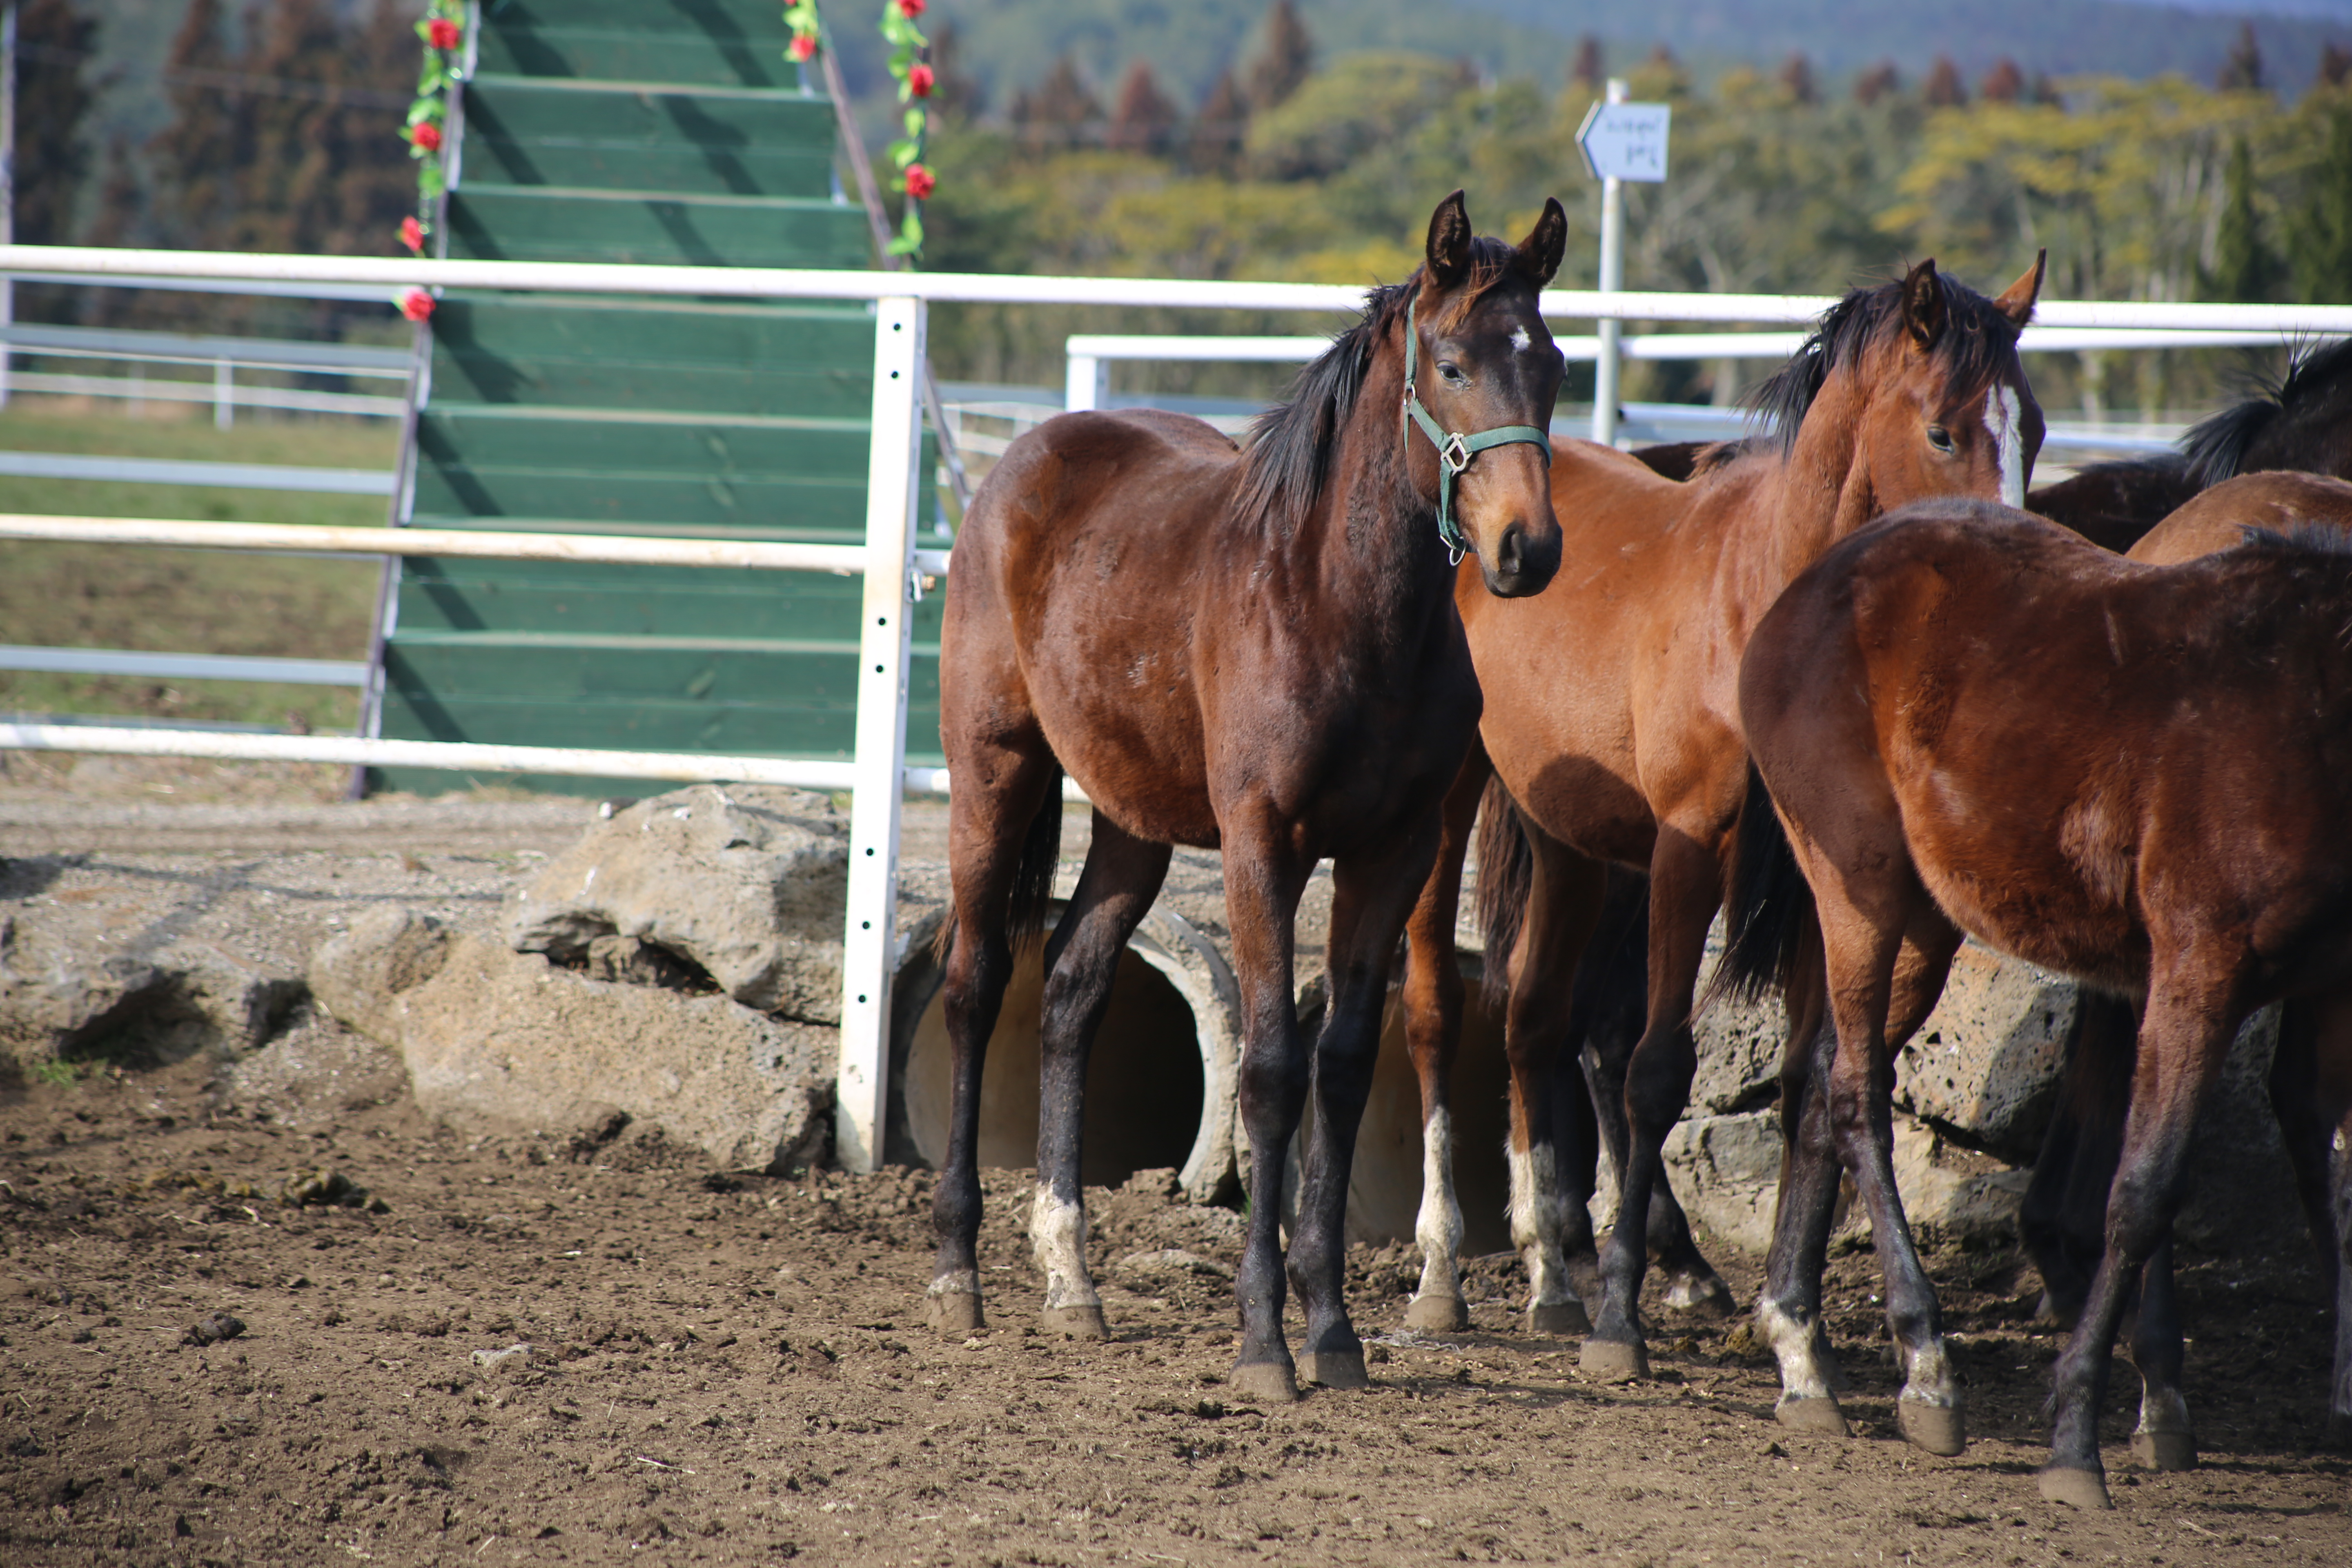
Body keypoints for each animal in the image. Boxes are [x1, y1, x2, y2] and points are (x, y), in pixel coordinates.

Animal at [927, 190, 1571, 1401]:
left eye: (1550, 363)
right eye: (1452, 362)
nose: (1530, 549)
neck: (1333, 601)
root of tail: (1021, 459)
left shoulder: (1392, 850)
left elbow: (1344, 1066)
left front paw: (1334, 1330)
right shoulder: (1261, 845)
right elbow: (1270, 1070)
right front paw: (1266, 1338)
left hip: (1130, 823)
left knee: (1072, 988)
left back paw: (1071, 1282)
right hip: (994, 773)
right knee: (977, 983)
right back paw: (957, 1272)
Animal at [1392, 252, 2041, 1392]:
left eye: (2036, 429)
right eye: (1943, 431)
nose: (2009, 565)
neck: (1762, 611)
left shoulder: (1819, 883)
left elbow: (1808, 1089)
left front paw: (1796, 1330)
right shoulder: (1692, 854)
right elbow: (1657, 1071)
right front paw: (1624, 1322)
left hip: (1571, 846)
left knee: (1533, 1019)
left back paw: (1550, 1276)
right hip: (1455, 806)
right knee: (1439, 1007)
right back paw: (1445, 1275)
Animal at [1722, 501, 2352, 1504]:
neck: (2308, 697)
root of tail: (1812, 582)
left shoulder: (2325, 986)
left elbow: (2329, 1179)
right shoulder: (2199, 968)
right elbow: (2144, 1187)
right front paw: (2076, 1436)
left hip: (1926, 921)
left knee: (1820, 1080)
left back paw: (1802, 1354)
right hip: (1861, 894)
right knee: (1856, 1093)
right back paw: (1927, 1367)